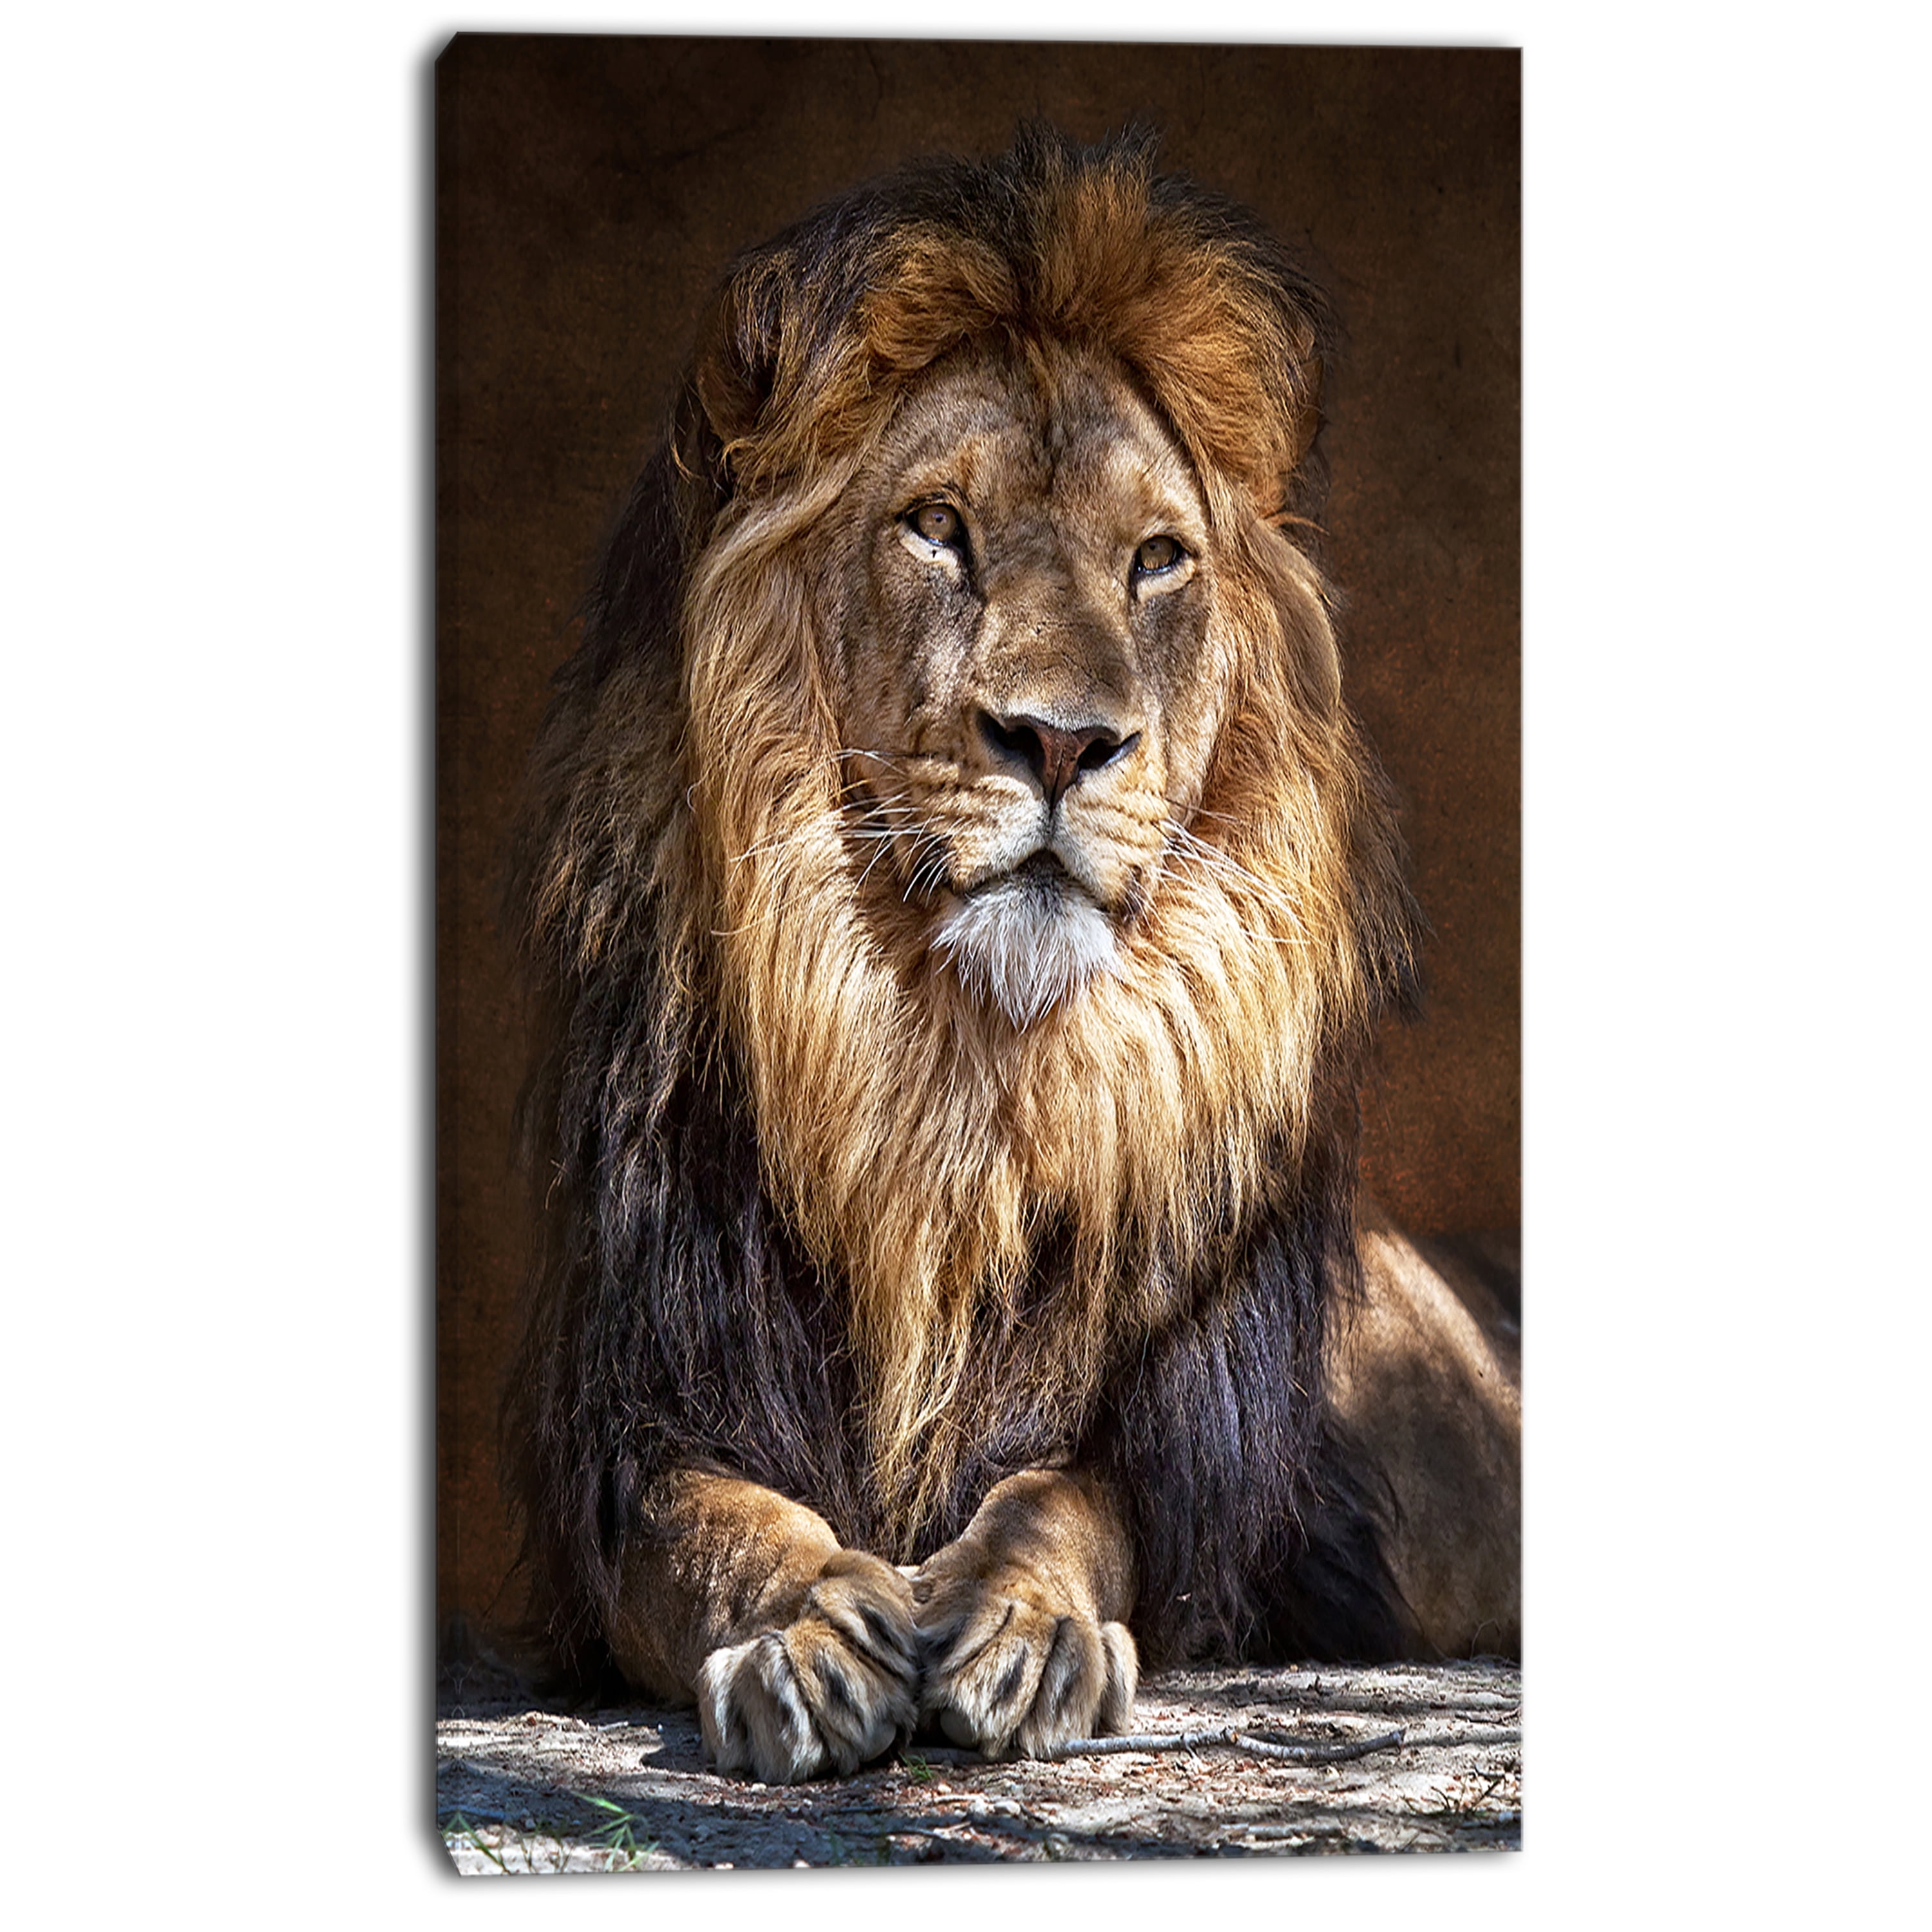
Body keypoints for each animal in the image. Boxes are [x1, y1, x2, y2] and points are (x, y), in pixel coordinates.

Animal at [503, 127, 1519, 1786]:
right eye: (937, 527)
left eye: (1156, 560)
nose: (1060, 739)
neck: (954, 1087)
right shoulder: (638, 1426)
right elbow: (715, 1527)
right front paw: (808, 1631)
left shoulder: (1174, 1458)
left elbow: (1064, 1501)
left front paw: (1027, 1628)